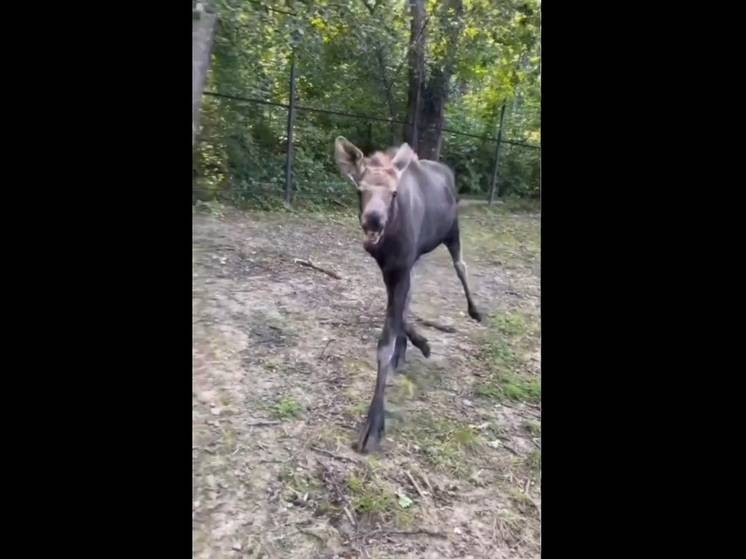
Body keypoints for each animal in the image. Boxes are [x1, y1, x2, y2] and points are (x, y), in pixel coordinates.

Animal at [332, 137, 482, 456]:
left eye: (393, 192)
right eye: (360, 189)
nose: (373, 221)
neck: (389, 241)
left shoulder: (400, 267)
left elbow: (384, 343)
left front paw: (373, 425)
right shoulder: (393, 268)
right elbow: (401, 315)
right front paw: (418, 343)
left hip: (452, 231)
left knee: (461, 265)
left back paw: (475, 311)